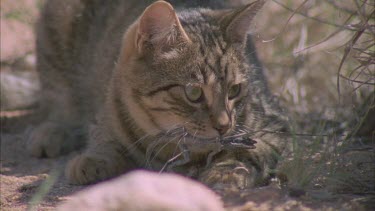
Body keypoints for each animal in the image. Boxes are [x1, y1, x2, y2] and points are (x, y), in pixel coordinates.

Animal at [28, 0, 290, 189]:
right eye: (193, 92)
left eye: (235, 90)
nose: (224, 126)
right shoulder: (106, 118)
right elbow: (105, 141)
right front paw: (93, 159)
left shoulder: (274, 128)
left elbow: (246, 152)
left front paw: (226, 173)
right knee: (58, 97)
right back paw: (55, 130)